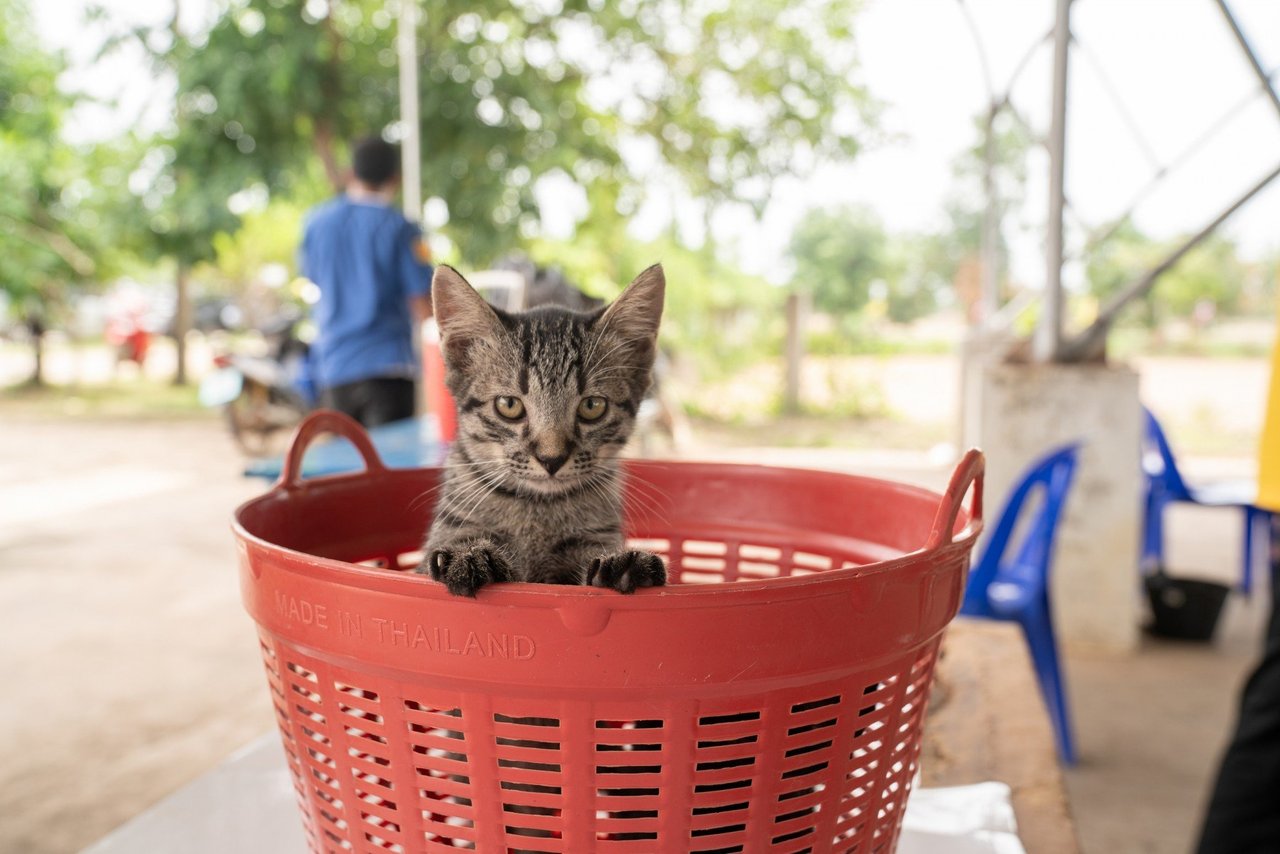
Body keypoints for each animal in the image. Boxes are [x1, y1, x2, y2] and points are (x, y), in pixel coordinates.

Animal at [417, 263, 670, 599]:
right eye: (509, 405)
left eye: (592, 406)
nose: (552, 459)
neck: (537, 509)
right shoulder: (449, 531)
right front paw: (468, 555)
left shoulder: (592, 538)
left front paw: (624, 564)